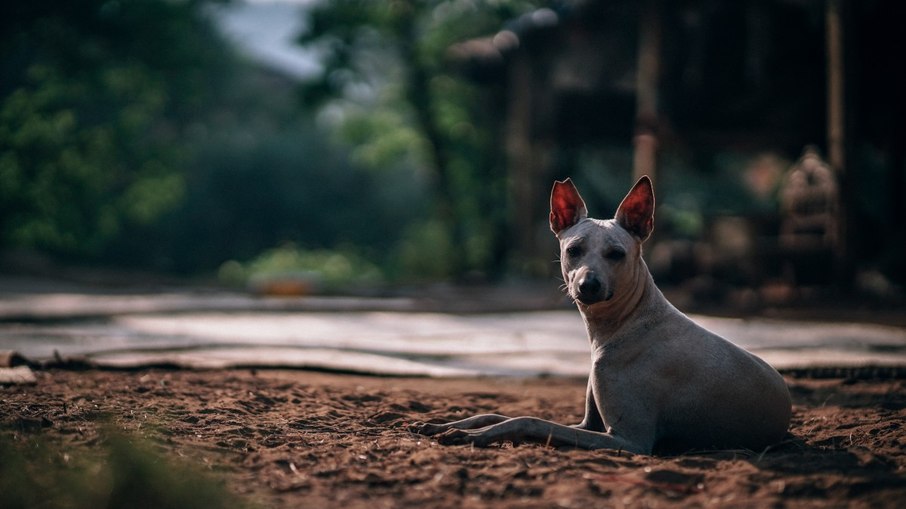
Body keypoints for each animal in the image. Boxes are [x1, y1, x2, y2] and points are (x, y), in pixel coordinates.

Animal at [414, 176, 788, 452]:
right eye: (573, 250)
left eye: (616, 254)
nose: (588, 285)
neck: (627, 324)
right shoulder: (588, 424)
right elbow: (495, 412)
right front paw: (446, 423)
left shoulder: (629, 440)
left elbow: (528, 420)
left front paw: (472, 436)